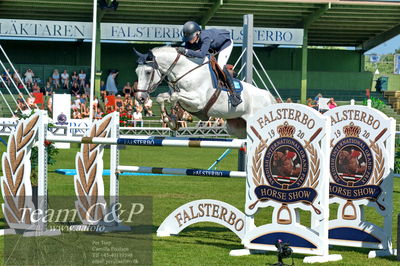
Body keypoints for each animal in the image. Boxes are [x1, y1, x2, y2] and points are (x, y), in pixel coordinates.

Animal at [134, 46, 276, 137]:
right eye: (136, 71)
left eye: (148, 72)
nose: (140, 97)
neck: (185, 71)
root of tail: (269, 97)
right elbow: (161, 97)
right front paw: (170, 120)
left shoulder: (198, 102)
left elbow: (174, 96)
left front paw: (172, 117)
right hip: (237, 128)